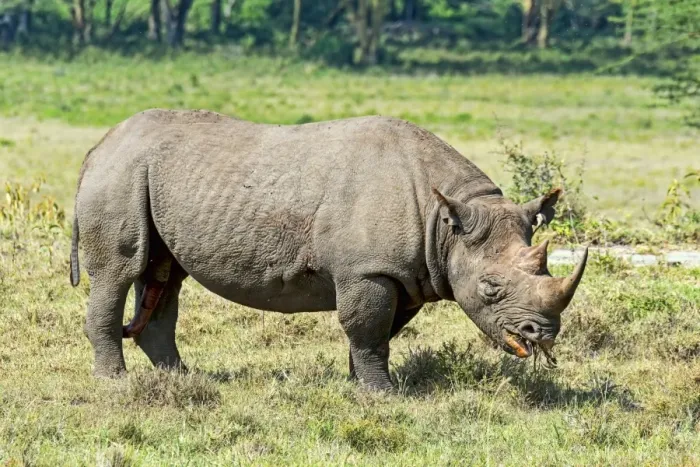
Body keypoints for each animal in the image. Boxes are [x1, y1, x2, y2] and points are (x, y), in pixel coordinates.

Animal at [70, 109, 587, 390]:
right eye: (490, 287)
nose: (543, 334)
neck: (447, 222)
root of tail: (97, 147)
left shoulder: (404, 273)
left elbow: (378, 333)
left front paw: (359, 384)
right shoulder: (369, 270)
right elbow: (369, 330)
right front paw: (383, 396)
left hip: (147, 176)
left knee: (164, 275)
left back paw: (182, 378)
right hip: (120, 175)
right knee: (120, 270)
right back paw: (116, 383)